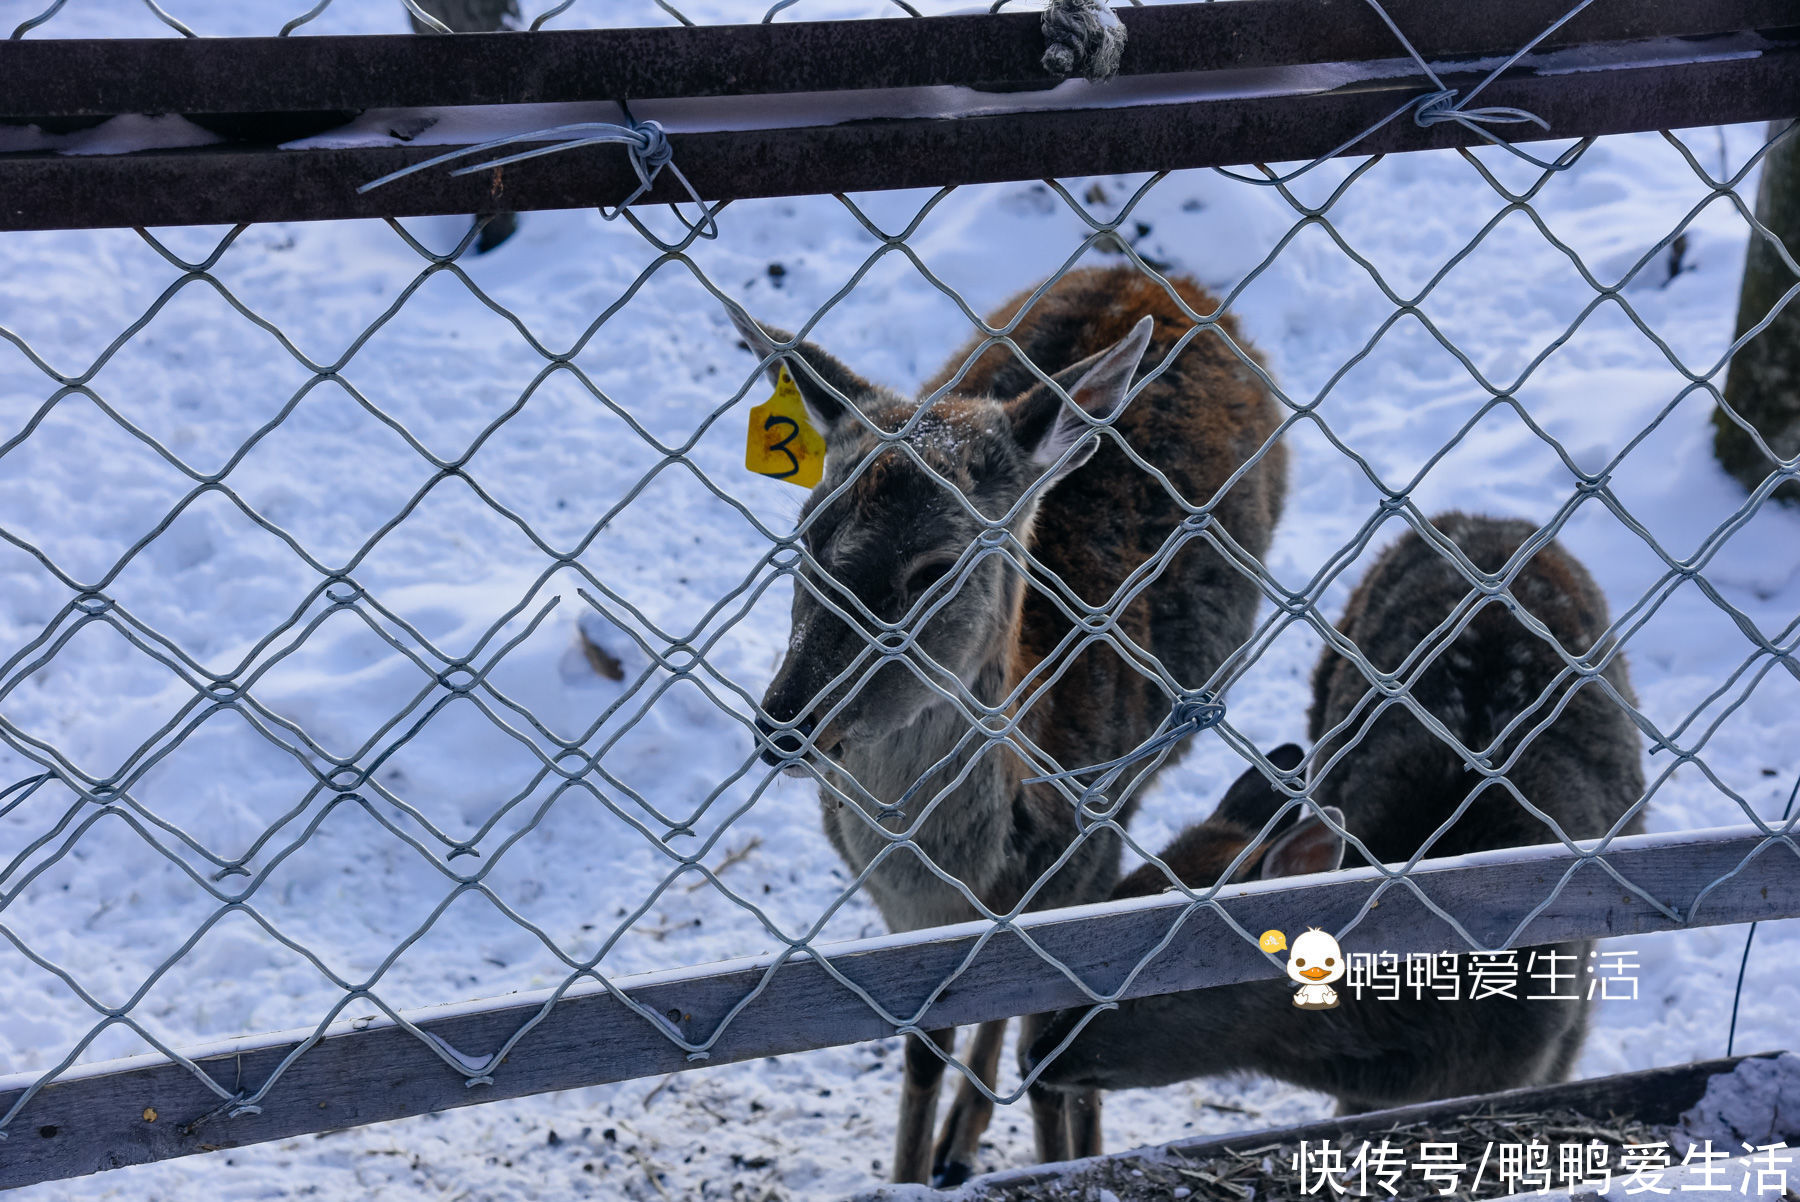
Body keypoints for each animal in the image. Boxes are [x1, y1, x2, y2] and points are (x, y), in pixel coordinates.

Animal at [730, 264, 1296, 1180]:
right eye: (806, 533)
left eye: (934, 566)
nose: (783, 724)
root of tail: (1157, 275)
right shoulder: (900, 919)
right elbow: (925, 1047)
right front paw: (912, 1170)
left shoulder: (1090, 861)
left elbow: (1056, 1051)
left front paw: (1068, 1156)